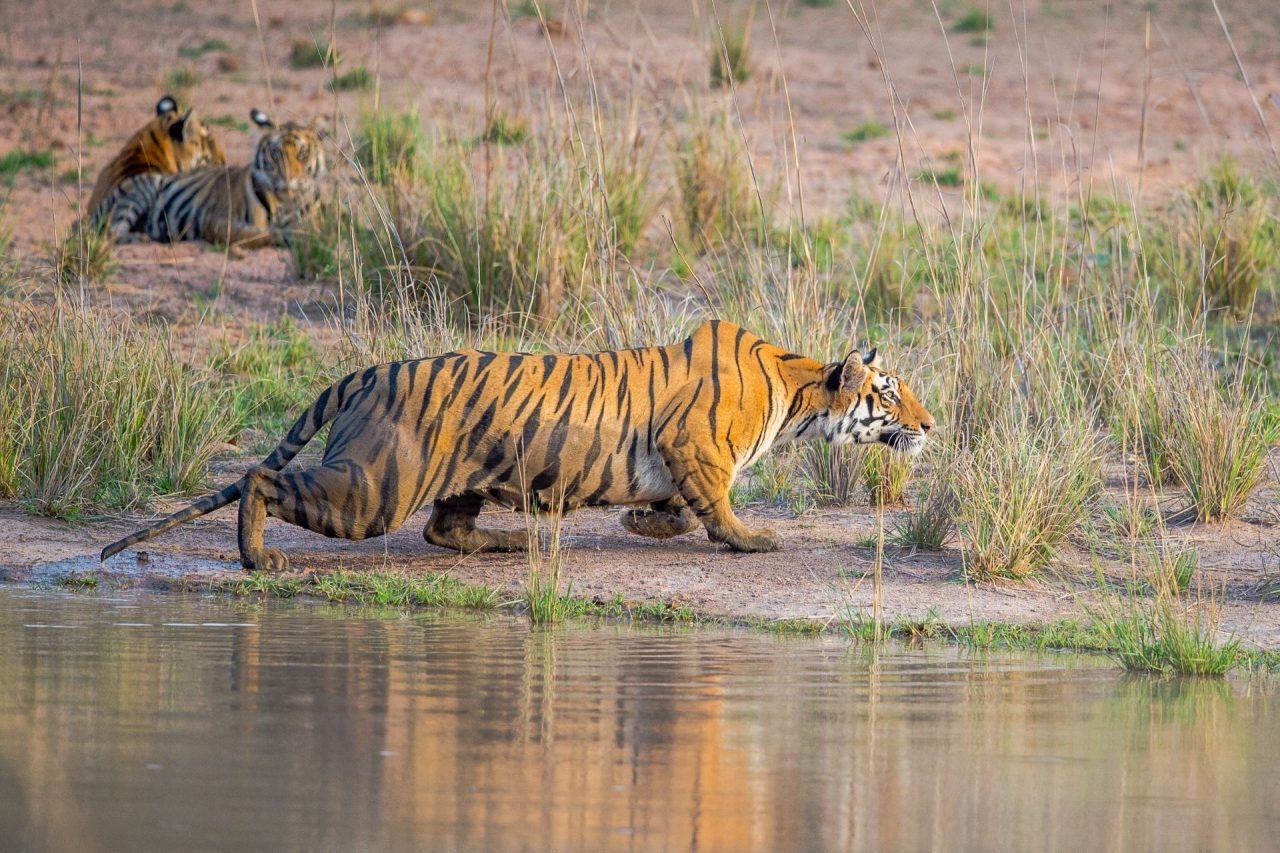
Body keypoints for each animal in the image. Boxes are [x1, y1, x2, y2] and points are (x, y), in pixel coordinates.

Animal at [99, 318, 936, 571]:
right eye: (891, 391)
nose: (930, 425)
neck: (799, 392)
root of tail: (367, 369)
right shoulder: (694, 445)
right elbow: (718, 504)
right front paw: (749, 538)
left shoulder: (675, 456)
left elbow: (674, 503)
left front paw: (646, 522)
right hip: (373, 486)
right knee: (260, 480)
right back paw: (256, 557)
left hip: (458, 477)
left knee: (444, 529)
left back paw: (506, 543)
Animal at [144, 108, 325, 247]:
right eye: (275, 153)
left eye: (302, 153)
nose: (288, 177)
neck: (284, 202)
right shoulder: (216, 220)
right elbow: (251, 234)